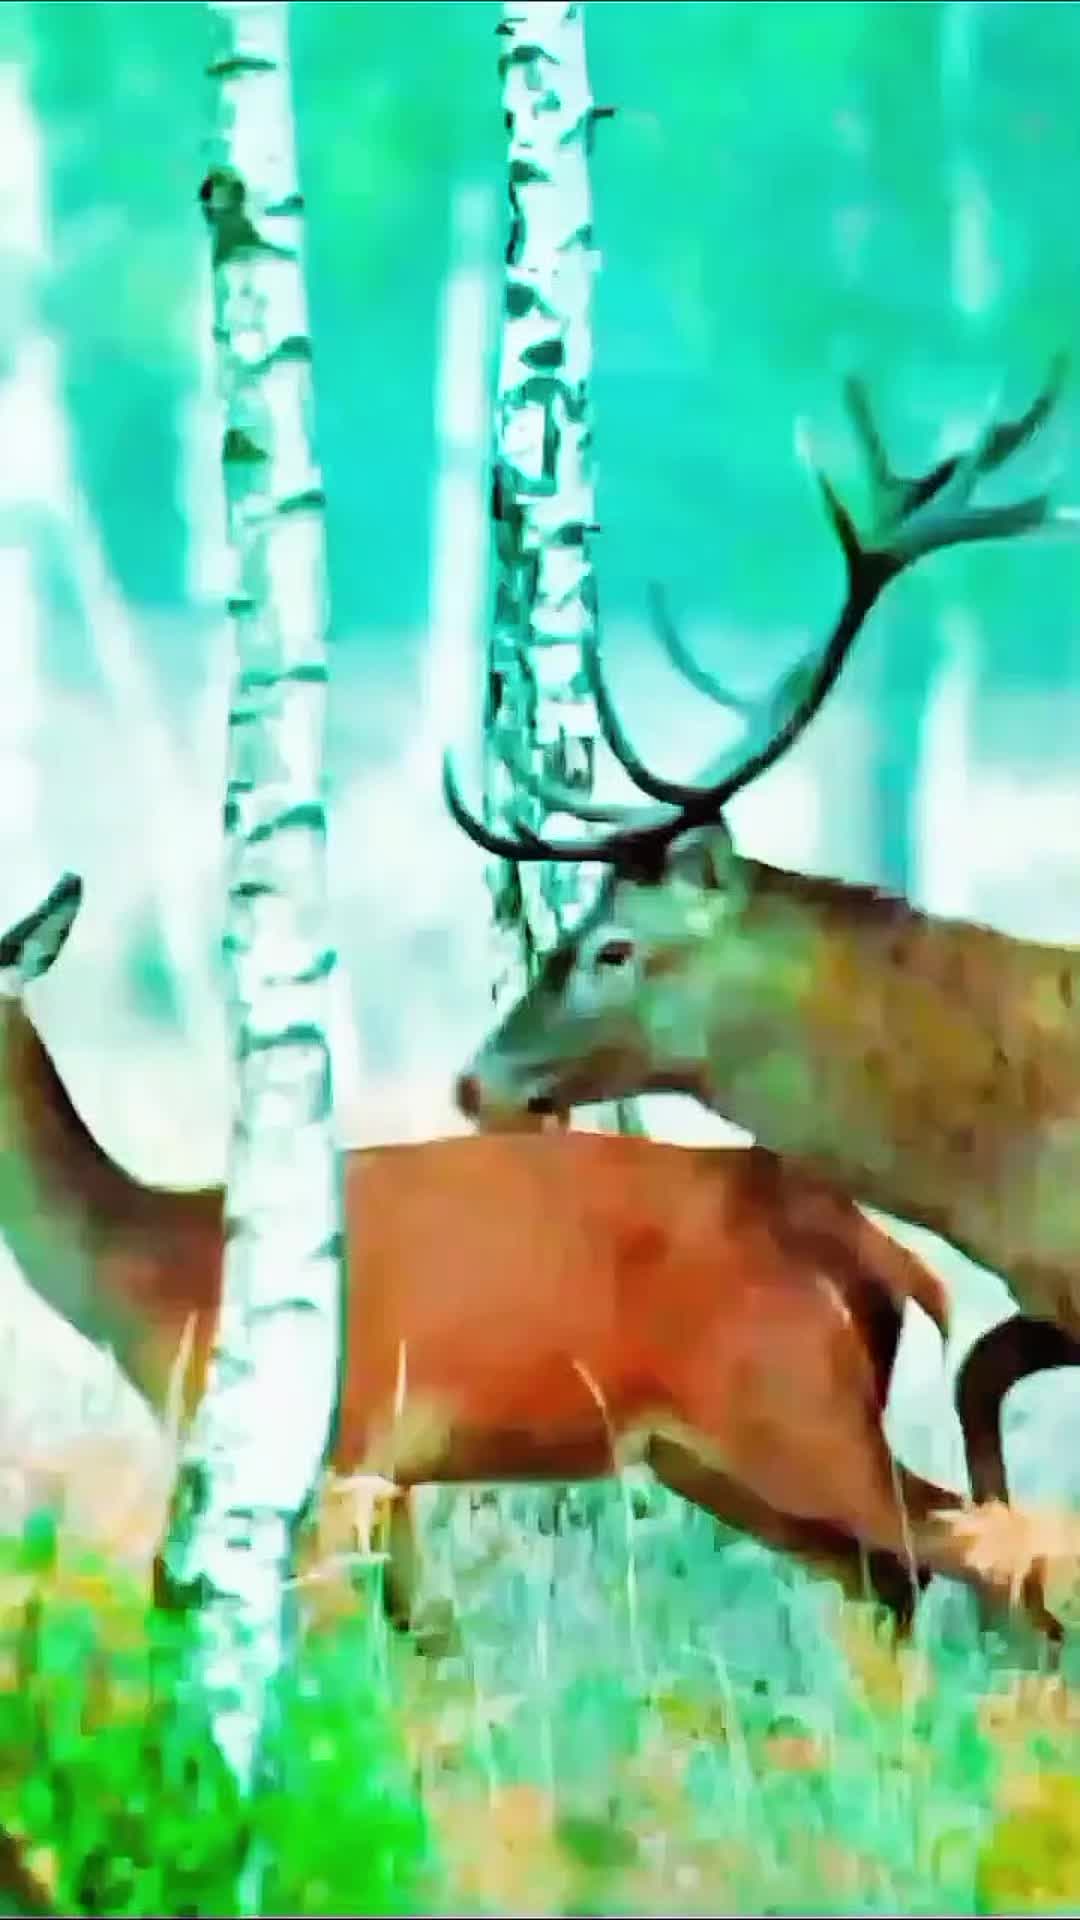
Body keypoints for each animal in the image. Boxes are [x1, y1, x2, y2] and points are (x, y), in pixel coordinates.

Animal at [0, 873, 1063, 1644]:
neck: (160, 1270)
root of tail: (866, 1243)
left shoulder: (338, 1451)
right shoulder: (389, 1478)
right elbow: (425, 1642)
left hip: (799, 1414)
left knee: (981, 1556)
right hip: (720, 1452)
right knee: (895, 1575)